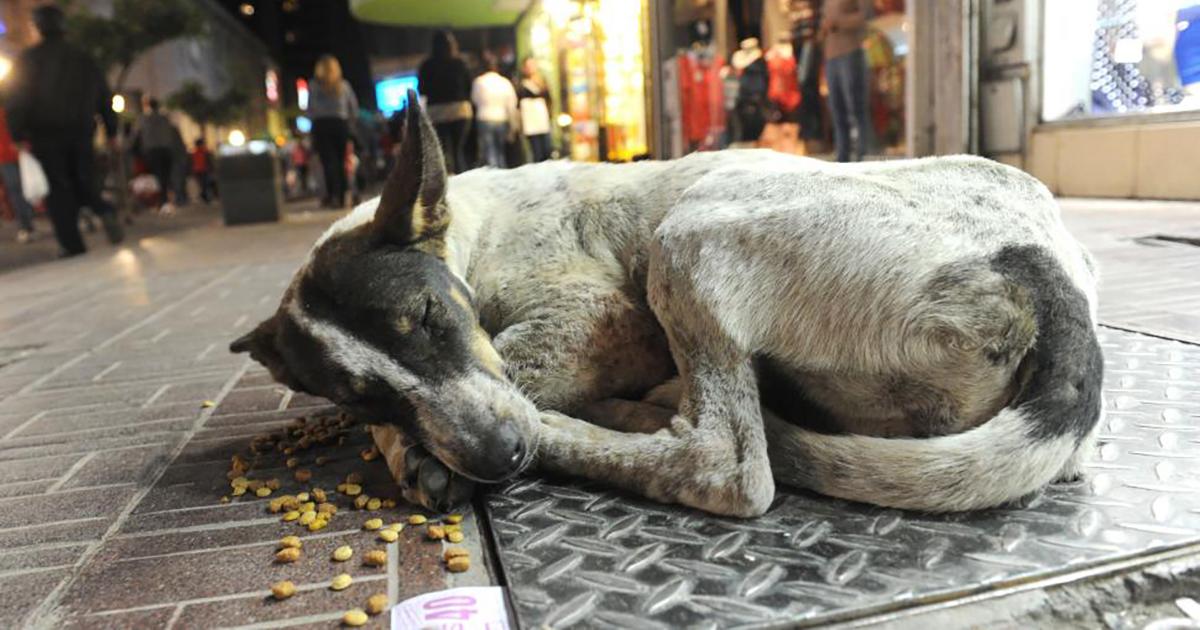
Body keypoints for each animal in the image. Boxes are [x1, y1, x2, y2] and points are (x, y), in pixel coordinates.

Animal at [229, 94, 1099, 516]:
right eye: (358, 391)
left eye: (431, 320)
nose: (499, 457)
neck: (474, 231)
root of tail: (1053, 288)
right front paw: (403, 442)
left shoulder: (606, 321)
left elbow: (507, 371)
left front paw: (417, 452)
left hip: (689, 237)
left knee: (726, 467)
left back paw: (596, 426)